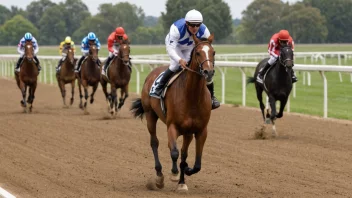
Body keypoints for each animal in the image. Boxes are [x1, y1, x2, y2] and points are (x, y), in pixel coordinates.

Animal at [131, 33, 216, 190]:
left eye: (213, 52)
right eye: (198, 52)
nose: (209, 72)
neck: (192, 97)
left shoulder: (199, 130)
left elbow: (194, 162)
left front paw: (184, 177)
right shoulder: (172, 126)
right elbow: (175, 152)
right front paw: (174, 173)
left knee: (179, 151)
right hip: (150, 115)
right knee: (155, 143)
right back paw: (159, 176)